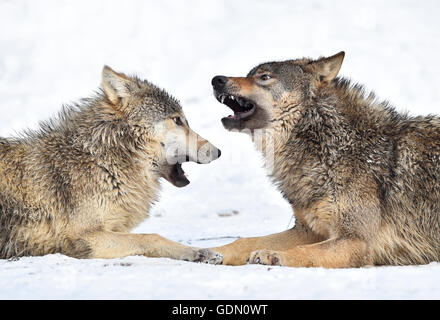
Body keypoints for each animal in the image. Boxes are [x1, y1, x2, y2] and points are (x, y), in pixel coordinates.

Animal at [0, 65, 222, 262]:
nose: (218, 151)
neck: (105, 161)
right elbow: (152, 237)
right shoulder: (85, 236)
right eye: (177, 120)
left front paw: (202, 252)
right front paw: (199, 252)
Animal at [210, 52, 440, 268]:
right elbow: (246, 241)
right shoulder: (306, 230)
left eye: (264, 77)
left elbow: (304, 251)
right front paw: (211, 252)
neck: (329, 146)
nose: (216, 80)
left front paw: (273, 255)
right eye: (249, 75)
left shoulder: (356, 240)